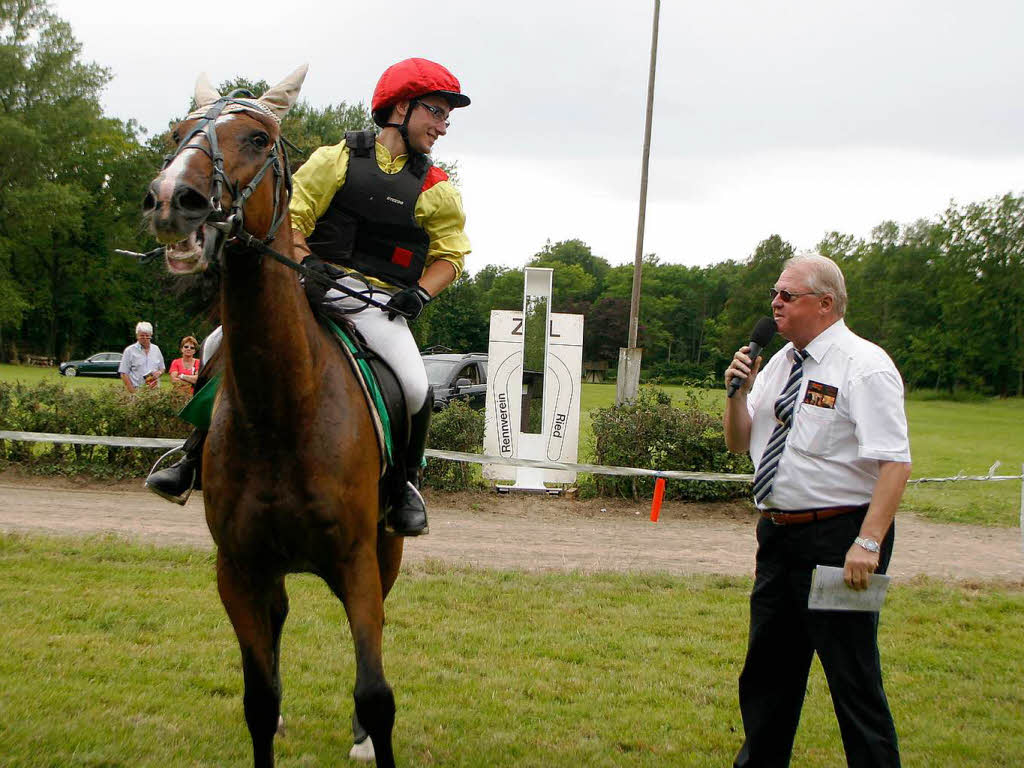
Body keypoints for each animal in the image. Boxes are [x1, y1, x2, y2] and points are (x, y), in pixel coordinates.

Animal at [143, 66, 403, 768]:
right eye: (177, 135)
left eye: (257, 139)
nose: (172, 200)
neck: (283, 410)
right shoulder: (237, 568)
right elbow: (257, 701)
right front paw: (273, 711)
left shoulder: (357, 562)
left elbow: (376, 693)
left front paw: (366, 734)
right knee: (279, 619)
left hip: (387, 551)